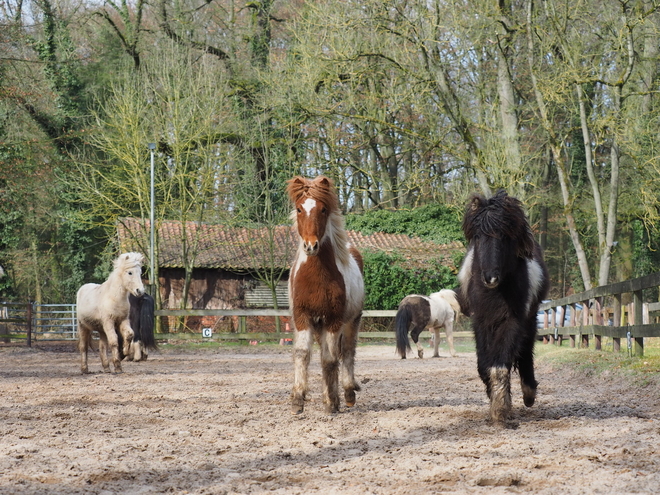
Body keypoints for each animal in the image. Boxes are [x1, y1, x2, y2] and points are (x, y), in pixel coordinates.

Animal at [286, 176, 366, 416]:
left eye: (323, 209)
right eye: (299, 208)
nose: (311, 246)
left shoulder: (333, 319)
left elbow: (330, 359)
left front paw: (332, 403)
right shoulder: (302, 317)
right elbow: (302, 354)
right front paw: (298, 401)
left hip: (351, 320)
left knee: (346, 352)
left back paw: (347, 394)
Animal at [456, 192, 548, 424]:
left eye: (505, 237)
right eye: (478, 236)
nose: (490, 278)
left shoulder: (513, 320)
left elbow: (499, 365)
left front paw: (500, 408)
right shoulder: (480, 322)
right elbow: (484, 365)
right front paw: (494, 401)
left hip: (529, 318)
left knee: (525, 350)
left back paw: (529, 393)